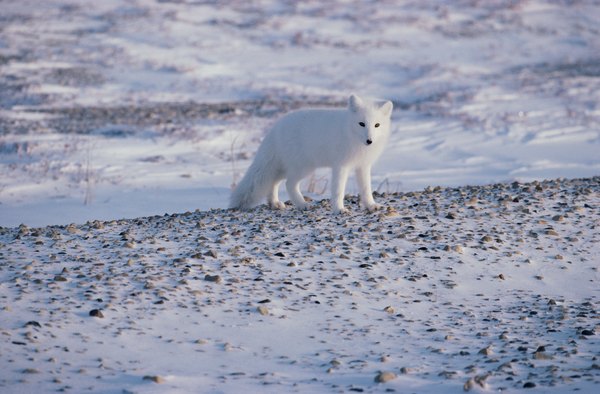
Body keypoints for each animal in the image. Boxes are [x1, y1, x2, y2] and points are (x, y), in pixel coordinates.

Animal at [230, 94, 394, 214]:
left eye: (377, 125)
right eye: (361, 124)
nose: (369, 141)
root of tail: (275, 128)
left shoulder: (363, 165)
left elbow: (366, 189)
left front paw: (371, 205)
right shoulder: (341, 166)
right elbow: (338, 190)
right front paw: (339, 209)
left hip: (285, 167)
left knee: (273, 182)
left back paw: (274, 203)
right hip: (304, 167)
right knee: (289, 184)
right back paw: (302, 204)